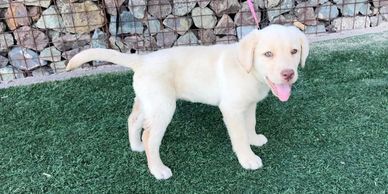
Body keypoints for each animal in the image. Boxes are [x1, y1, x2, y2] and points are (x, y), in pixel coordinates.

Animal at [66, 24, 310, 180]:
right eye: (267, 54)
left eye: (294, 51)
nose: (288, 74)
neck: (247, 69)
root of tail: (142, 60)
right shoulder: (231, 109)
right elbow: (239, 136)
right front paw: (248, 159)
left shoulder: (249, 105)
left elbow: (250, 124)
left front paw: (255, 139)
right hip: (163, 106)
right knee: (149, 137)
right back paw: (158, 170)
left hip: (148, 101)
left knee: (133, 120)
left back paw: (135, 146)